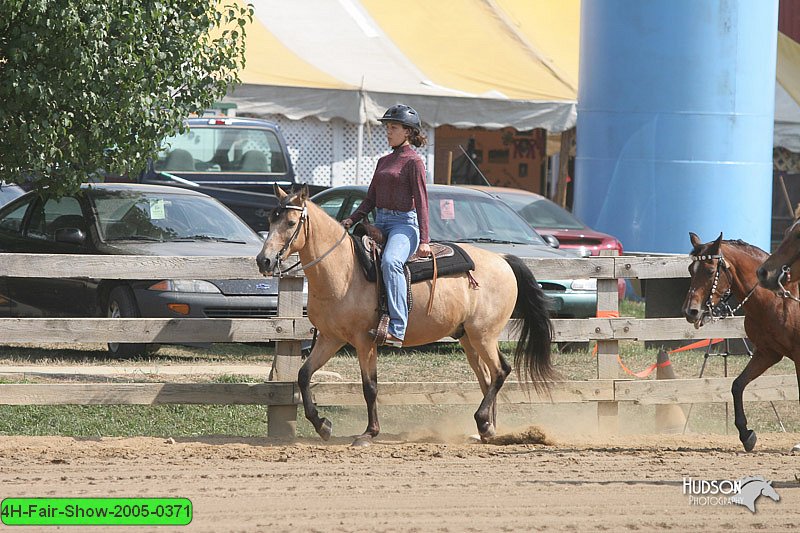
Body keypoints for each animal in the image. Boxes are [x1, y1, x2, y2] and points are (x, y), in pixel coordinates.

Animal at [256, 185, 556, 442]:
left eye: (291, 223)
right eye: (270, 219)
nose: (264, 260)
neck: (342, 270)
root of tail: (503, 260)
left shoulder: (365, 341)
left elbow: (370, 387)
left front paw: (369, 433)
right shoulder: (331, 338)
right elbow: (304, 375)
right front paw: (322, 425)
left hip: (484, 335)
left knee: (501, 371)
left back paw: (483, 422)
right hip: (468, 338)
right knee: (487, 377)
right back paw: (487, 429)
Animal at [680, 231, 800, 450]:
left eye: (710, 271)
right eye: (691, 270)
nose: (690, 311)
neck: (779, 301)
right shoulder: (768, 353)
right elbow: (737, 385)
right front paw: (746, 434)